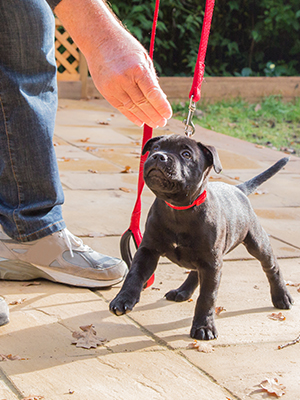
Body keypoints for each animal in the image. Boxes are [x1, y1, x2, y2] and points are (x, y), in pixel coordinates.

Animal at [110, 135, 292, 340]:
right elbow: (134, 274)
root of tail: (238, 189)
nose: (158, 156)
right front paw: (123, 299)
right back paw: (182, 291)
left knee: (271, 267)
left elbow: (207, 297)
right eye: (155, 147)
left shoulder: (212, 263)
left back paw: (282, 296)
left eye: (186, 154)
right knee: (195, 271)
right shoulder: (148, 250)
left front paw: (204, 326)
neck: (178, 208)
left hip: (256, 242)